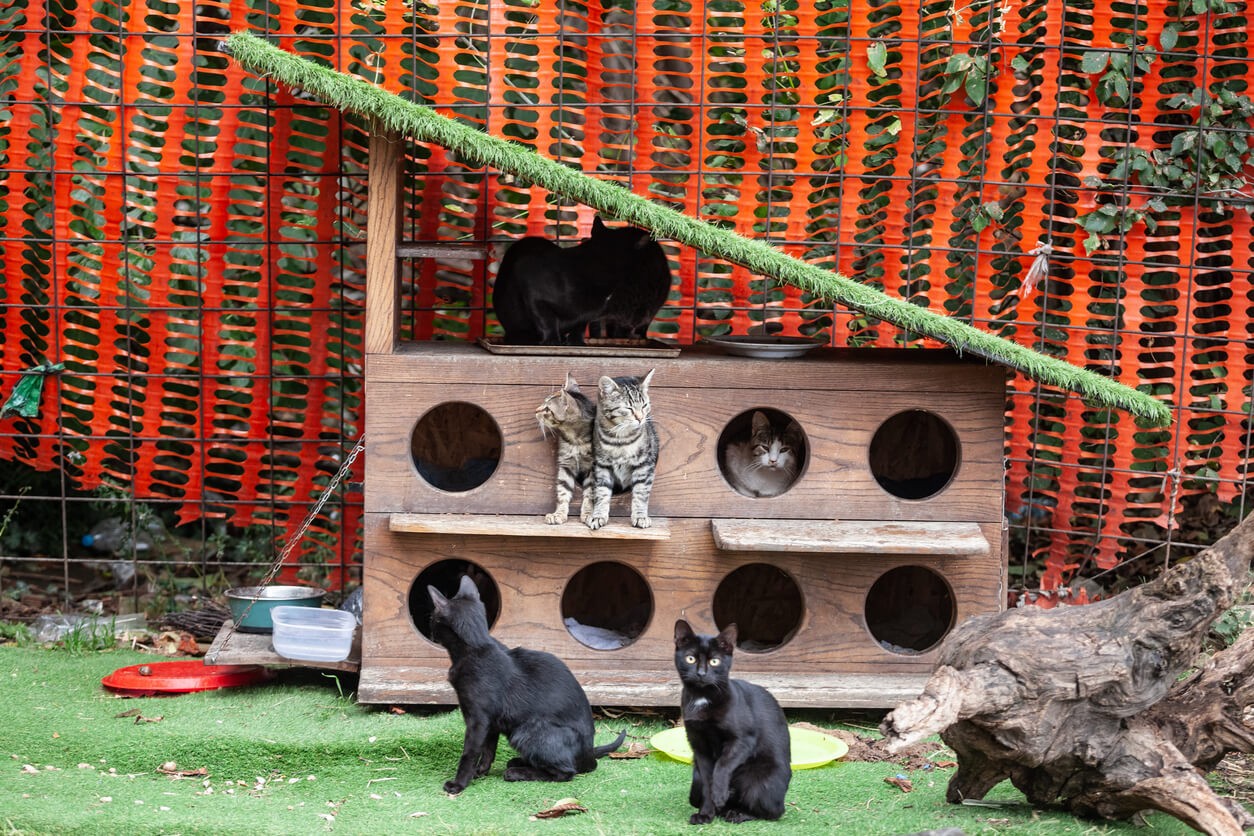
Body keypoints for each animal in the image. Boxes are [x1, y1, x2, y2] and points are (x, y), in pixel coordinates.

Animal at [428, 576, 627, 797]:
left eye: (431, 618)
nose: (429, 630)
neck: (477, 647)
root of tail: (589, 754)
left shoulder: (478, 721)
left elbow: (469, 753)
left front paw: (459, 784)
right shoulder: (491, 723)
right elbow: (488, 751)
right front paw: (481, 772)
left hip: (525, 732)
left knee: (567, 772)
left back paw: (517, 772)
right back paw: (519, 762)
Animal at [536, 370, 594, 523]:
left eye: (547, 409)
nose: (535, 410)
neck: (576, 440)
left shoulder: (594, 468)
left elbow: (590, 493)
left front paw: (589, 513)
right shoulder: (566, 464)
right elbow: (563, 491)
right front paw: (559, 514)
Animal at [589, 368, 662, 528]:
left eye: (644, 405)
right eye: (628, 408)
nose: (641, 418)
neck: (621, 439)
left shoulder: (644, 464)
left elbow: (641, 492)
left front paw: (640, 516)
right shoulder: (602, 465)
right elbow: (601, 492)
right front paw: (598, 515)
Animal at [672, 621, 787, 822]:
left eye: (714, 661)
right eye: (690, 659)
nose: (701, 673)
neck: (702, 698)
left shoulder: (743, 740)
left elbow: (722, 765)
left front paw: (719, 794)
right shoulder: (699, 746)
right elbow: (707, 781)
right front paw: (706, 814)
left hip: (759, 782)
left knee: (772, 812)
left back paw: (737, 813)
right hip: (695, 777)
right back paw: (723, 810)